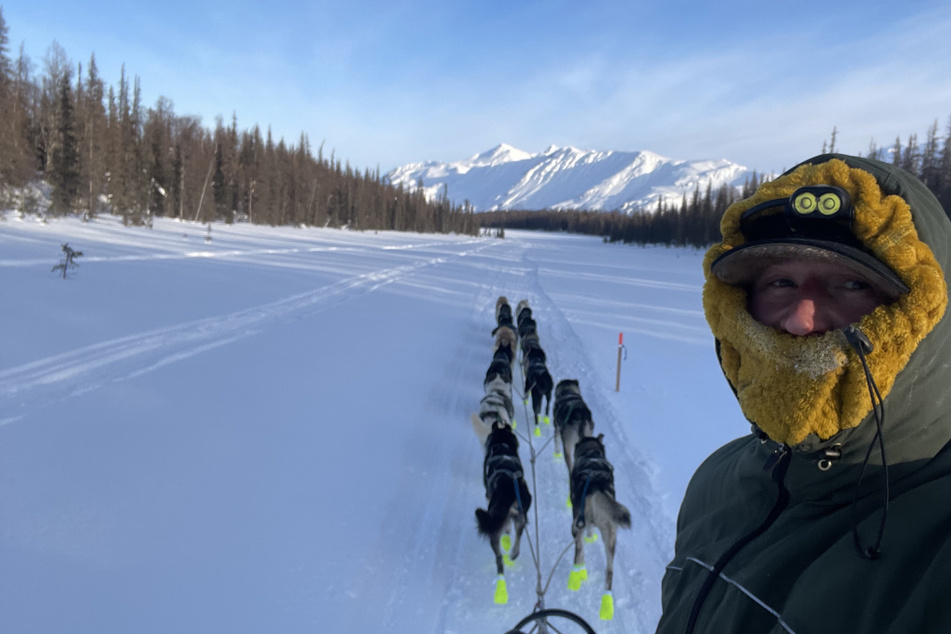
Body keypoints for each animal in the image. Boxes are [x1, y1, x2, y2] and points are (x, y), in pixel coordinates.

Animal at [568, 432, 636, 604]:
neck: (591, 455)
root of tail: (596, 485)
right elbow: (591, 529)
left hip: (576, 526)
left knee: (579, 553)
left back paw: (576, 576)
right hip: (611, 537)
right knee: (609, 571)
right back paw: (606, 602)